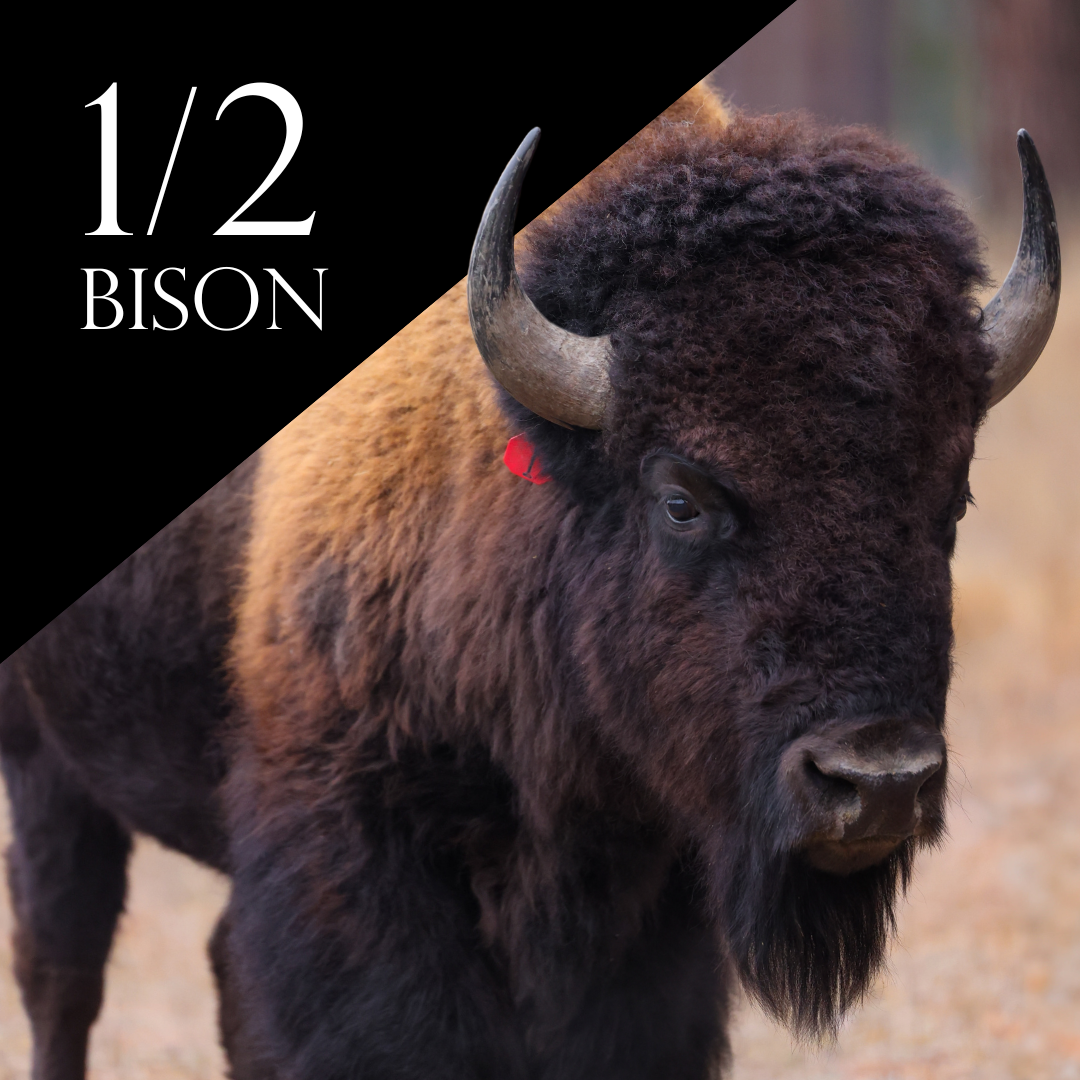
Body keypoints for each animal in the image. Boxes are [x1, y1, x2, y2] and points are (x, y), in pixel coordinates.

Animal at [0, 85, 1061, 1079]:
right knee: (64, 973)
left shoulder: (652, 897)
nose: (877, 781)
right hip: (45, 770)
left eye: (952, 497)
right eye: (681, 500)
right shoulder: (356, 863)